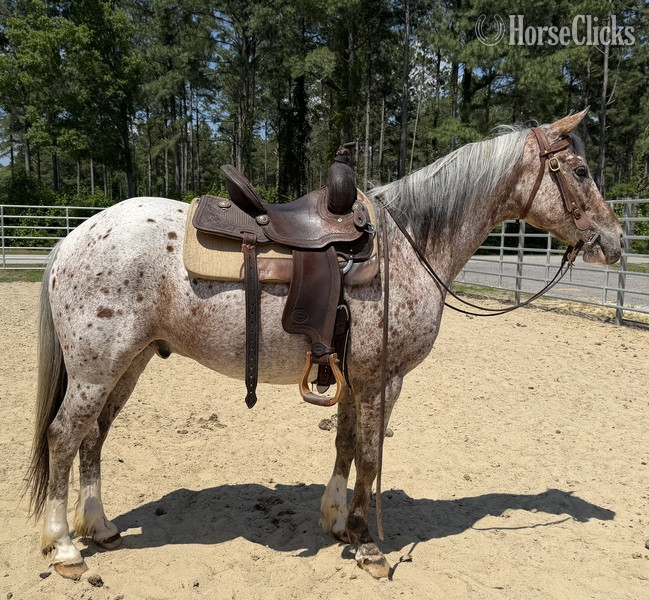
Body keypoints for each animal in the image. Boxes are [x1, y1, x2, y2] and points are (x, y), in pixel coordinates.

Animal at [27, 109, 622, 579]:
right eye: (581, 170)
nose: (615, 241)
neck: (409, 247)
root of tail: (74, 236)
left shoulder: (352, 376)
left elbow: (345, 444)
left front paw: (337, 521)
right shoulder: (385, 378)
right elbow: (372, 456)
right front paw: (369, 544)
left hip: (127, 364)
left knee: (93, 437)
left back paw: (100, 527)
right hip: (96, 369)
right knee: (63, 436)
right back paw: (64, 547)